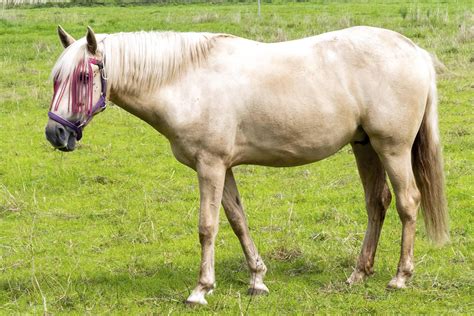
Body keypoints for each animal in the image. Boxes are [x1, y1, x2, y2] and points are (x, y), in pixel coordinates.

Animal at [44, 25, 448, 304]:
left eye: (83, 77)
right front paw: (257, 278)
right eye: (55, 79)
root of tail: (415, 51)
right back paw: (359, 274)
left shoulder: (210, 165)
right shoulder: (223, 167)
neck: (188, 81)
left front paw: (200, 289)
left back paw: (400, 277)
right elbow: (238, 220)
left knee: (407, 202)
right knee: (376, 204)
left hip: (392, 148)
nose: (55, 134)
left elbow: (207, 226)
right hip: (364, 147)